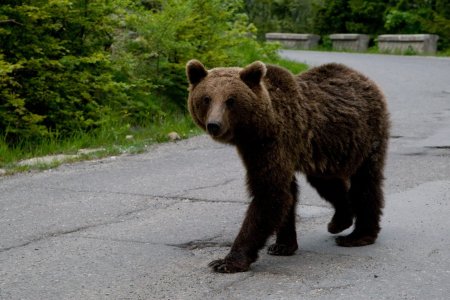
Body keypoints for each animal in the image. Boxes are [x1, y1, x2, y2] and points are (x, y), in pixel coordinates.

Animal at [185, 58, 388, 272]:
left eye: (231, 100)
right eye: (206, 98)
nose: (214, 125)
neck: (258, 128)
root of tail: (362, 77)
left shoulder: (274, 144)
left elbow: (270, 194)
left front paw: (227, 261)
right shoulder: (259, 150)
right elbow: (287, 194)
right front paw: (282, 245)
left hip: (366, 136)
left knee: (365, 183)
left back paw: (359, 235)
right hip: (325, 149)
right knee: (326, 182)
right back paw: (340, 221)